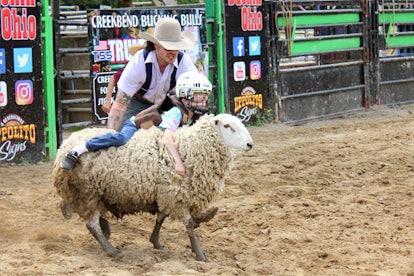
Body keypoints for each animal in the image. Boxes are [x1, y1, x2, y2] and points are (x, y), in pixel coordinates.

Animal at [51, 112, 252, 260]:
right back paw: (111, 250)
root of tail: (65, 145)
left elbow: (160, 218)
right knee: (91, 225)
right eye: (227, 126)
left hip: (93, 193)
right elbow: (187, 225)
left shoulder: (166, 194)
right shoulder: (176, 196)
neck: (188, 148)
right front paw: (199, 253)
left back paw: (104, 228)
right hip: (86, 192)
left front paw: (155, 242)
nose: (250, 144)